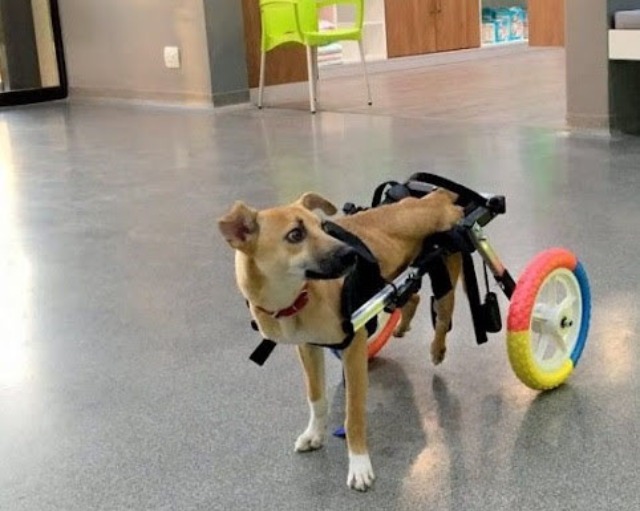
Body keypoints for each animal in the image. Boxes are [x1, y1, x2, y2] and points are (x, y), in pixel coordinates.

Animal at [218, 189, 462, 492]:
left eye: (323, 226)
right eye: (295, 235)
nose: (352, 255)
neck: (295, 300)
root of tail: (433, 197)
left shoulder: (353, 347)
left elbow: (353, 414)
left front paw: (359, 464)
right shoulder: (308, 348)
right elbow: (316, 399)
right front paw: (314, 433)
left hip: (445, 276)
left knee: (442, 317)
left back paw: (437, 348)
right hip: (395, 283)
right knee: (412, 297)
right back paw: (403, 325)